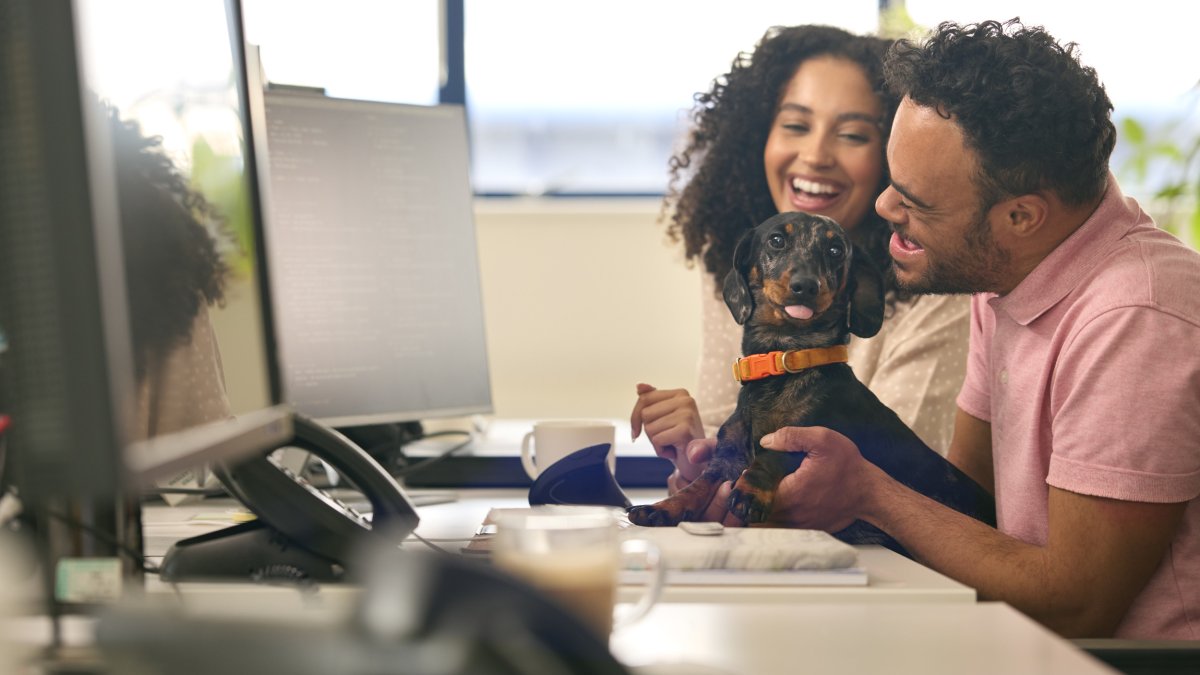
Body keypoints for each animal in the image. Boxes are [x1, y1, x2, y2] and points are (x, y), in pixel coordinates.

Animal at [628, 211, 993, 552]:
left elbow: (769, 457)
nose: (806, 286)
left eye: (835, 250)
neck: (784, 361)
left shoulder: (805, 434)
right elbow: (698, 484)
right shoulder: (725, 459)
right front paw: (662, 508)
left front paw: (750, 490)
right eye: (776, 240)